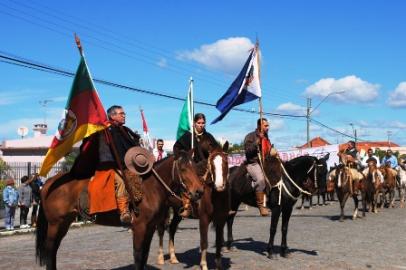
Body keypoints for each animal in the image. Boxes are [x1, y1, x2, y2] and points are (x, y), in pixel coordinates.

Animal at [36, 144, 205, 268]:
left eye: (196, 168)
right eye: (183, 168)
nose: (199, 191)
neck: (151, 188)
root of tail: (48, 183)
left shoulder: (150, 228)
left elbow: (144, 255)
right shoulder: (139, 227)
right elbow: (138, 256)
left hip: (64, 222)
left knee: (54, 249)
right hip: (55, 223)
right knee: (50, 249)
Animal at [157, 141, 230, 270]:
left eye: (225, 162)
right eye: (211, 164)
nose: (219, 185)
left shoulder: (220, 220)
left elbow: (219, 241)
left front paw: (218, 264)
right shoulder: (204, 219)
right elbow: (204, 242)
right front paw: (204, 265)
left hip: (178, 214)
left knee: (172, 229)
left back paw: (173, 257)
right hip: (164, 210)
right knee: (161, 229)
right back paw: (161, 258)